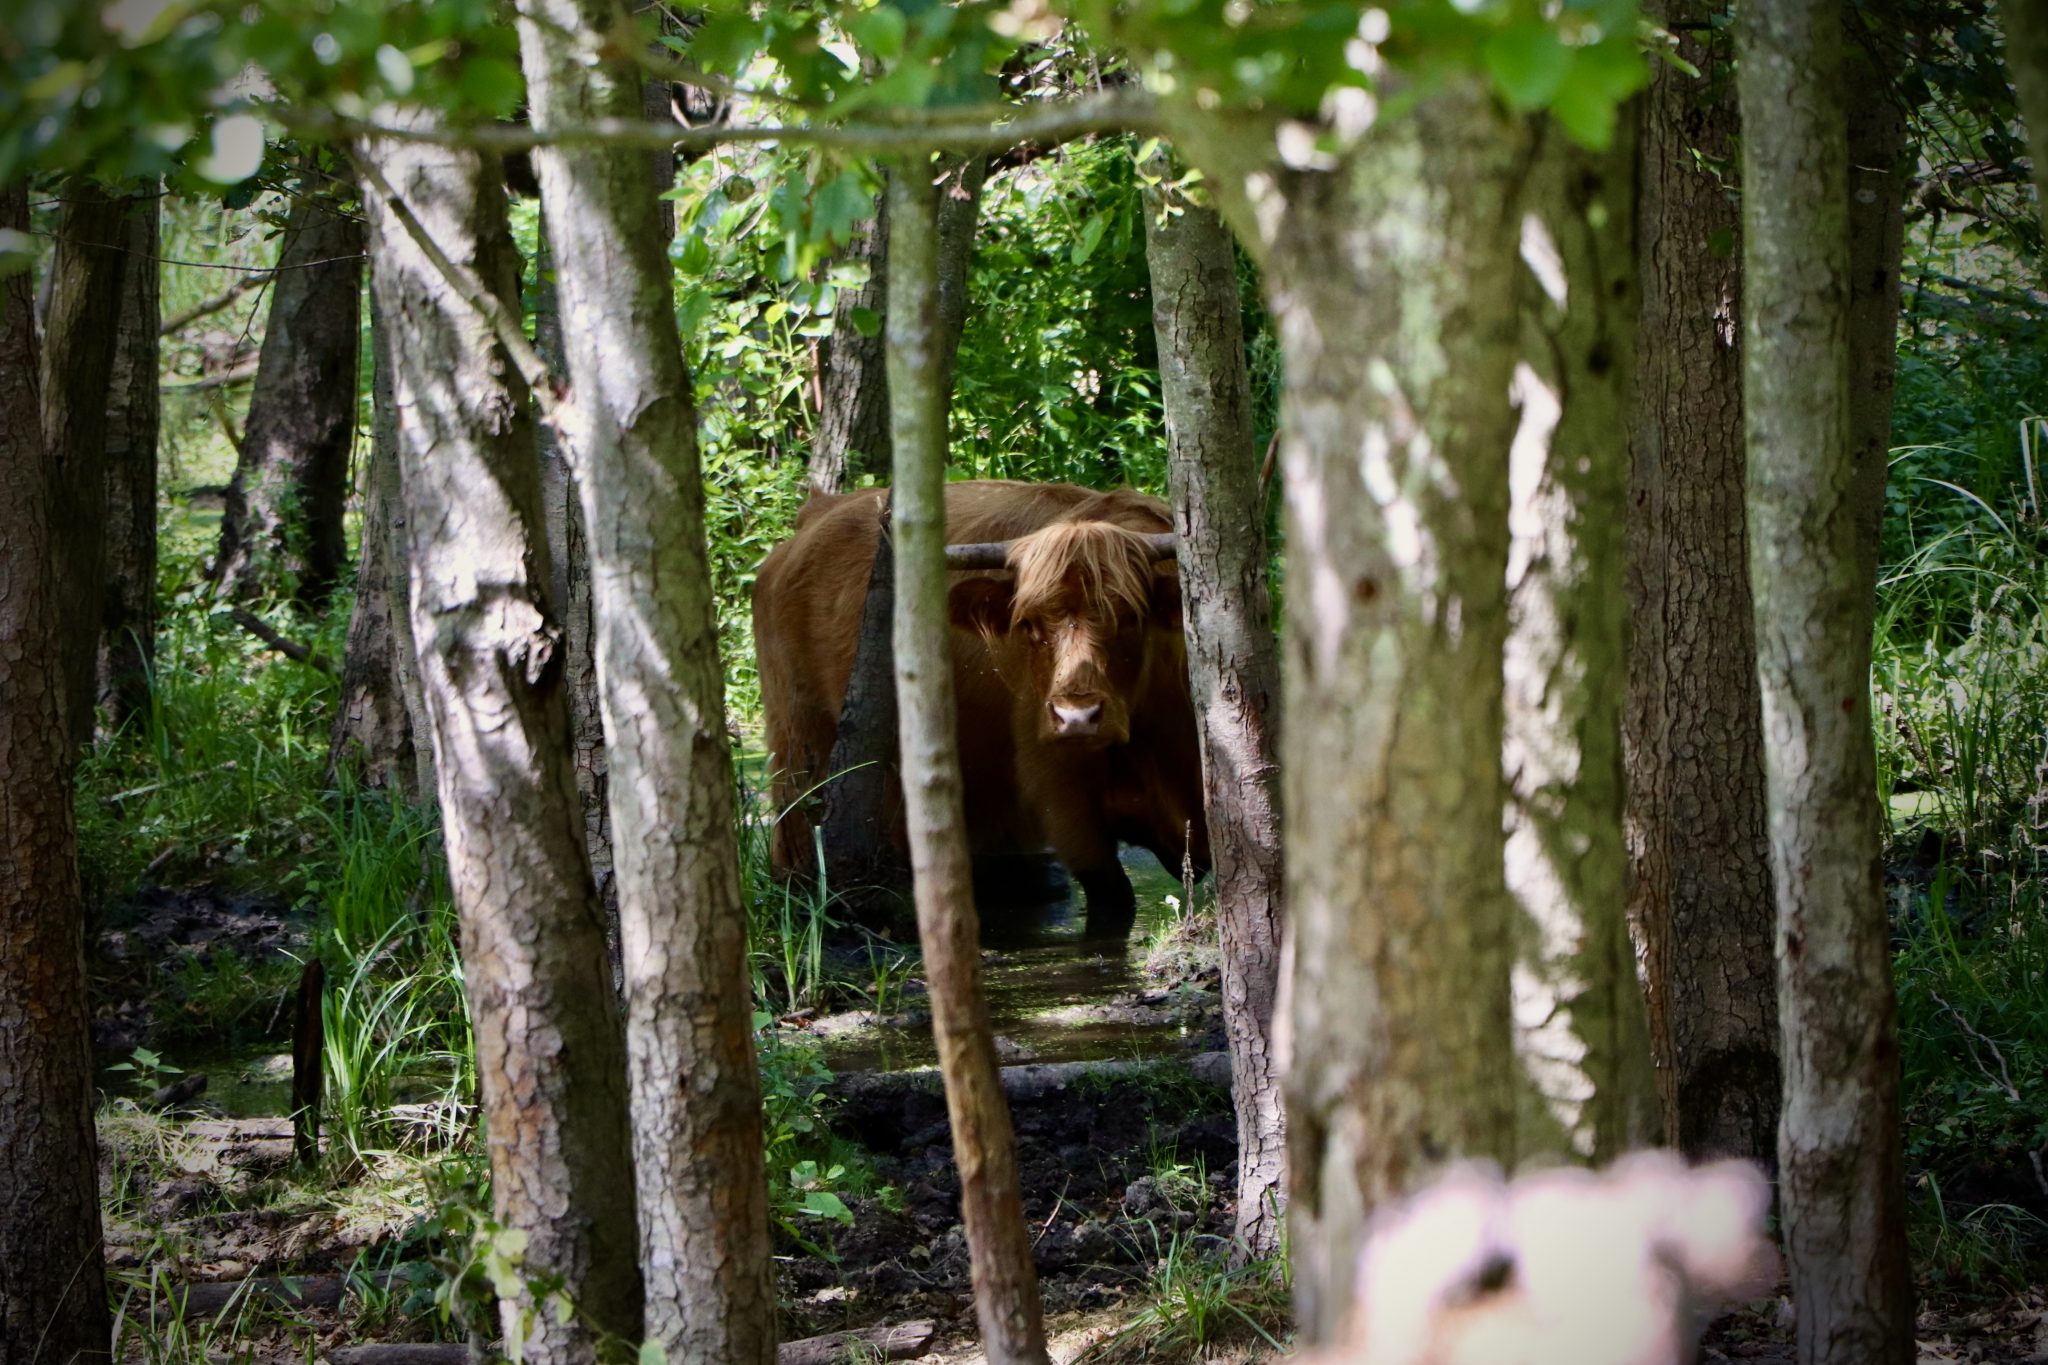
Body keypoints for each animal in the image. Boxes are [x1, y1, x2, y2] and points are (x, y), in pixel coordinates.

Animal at [753, 478, 1204, 929]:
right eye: (1029, 625)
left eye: (1131, 616)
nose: (1077, 717)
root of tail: (815, 513)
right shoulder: (1065, 798)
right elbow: (1113, 899)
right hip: (800, 746)